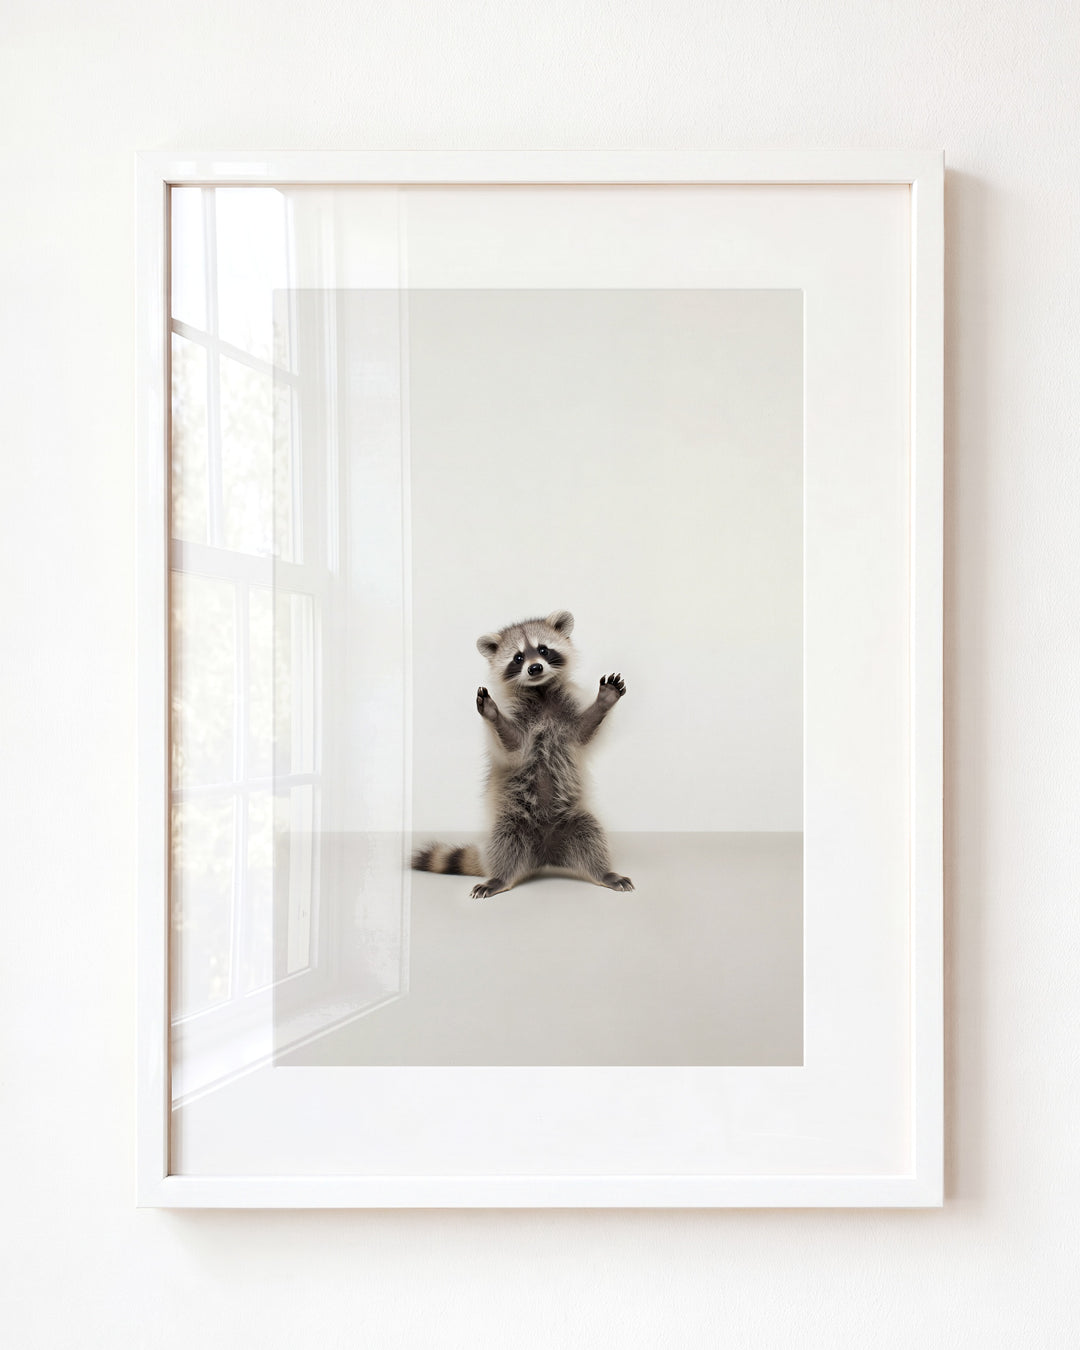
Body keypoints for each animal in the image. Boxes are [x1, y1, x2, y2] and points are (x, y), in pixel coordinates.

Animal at [412, 610, 633, 898]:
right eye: (518, 658)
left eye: (543, 650)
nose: (535, 668)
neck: (540, 691)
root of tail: (546, 855)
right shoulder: (518, 719)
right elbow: (513, 746)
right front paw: (493, 715)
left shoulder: (567, 714)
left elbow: (583, 733)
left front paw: (603, 702)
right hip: (511, 821)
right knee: (505, 843)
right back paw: (499, 878)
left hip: (574, 819)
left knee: (592, 835)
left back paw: (604, 873)